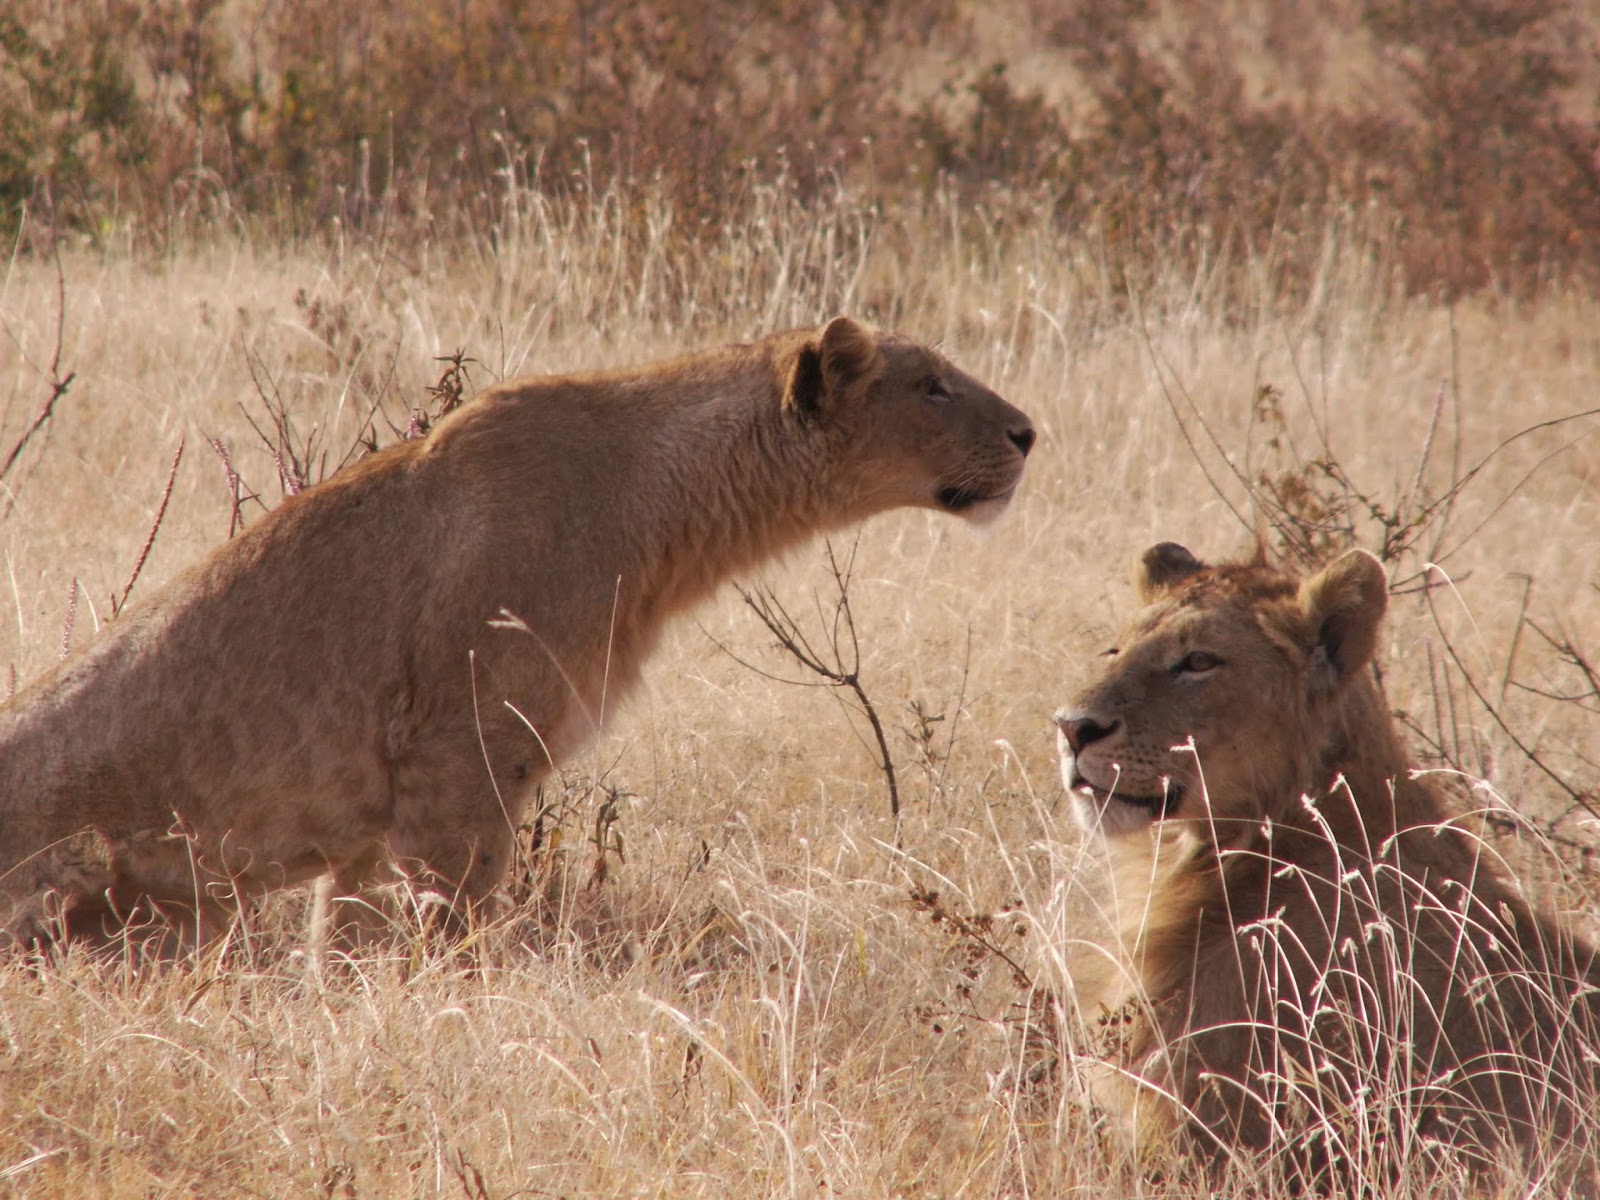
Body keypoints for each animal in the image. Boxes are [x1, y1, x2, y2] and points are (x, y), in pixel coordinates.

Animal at [0, 316, 1036, 947]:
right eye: (932, 386)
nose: (1030, 432)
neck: (659, 513)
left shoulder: (372, 819)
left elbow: (342, 936)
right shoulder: (457, 756)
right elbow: (445, 926)